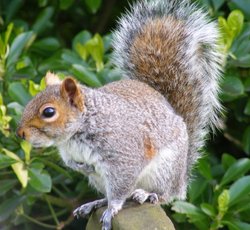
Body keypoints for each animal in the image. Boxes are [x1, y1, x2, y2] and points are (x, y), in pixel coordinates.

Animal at [16, 0, 223, 230]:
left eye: (49, 112)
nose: (20, 133)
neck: (80, 130)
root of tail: (182, 178)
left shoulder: (124, 157)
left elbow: (121, 188)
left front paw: (113, 208)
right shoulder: (68, 153)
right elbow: (72, 164)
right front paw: (82, 167)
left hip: (164, 171)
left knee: (164, 195)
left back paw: (146, 194)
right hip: (101, 179)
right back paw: (96, 202)